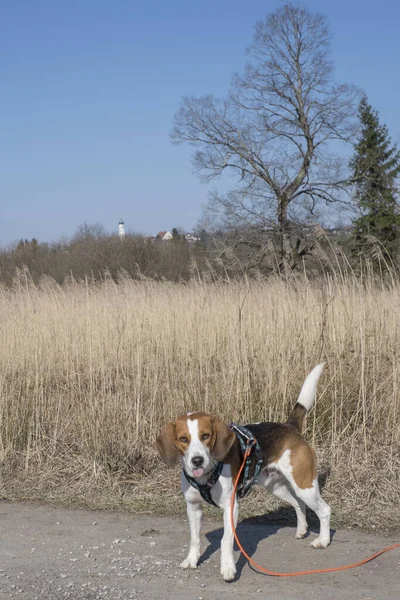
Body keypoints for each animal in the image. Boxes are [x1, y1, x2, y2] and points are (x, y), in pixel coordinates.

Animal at [155, 364, 330, 580]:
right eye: (183, 439)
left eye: (206, 436)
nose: (197, 461)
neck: (207, 475)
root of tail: (290, 426)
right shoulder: (193, 507)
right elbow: (195, 538)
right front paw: (192, 560)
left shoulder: (231, 507)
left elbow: (225, 541)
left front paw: (228, 568)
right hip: (276, 487)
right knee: (299, 504)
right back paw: (302, 529)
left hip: (304, 484)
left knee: (324, 510)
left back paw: (323, 540)